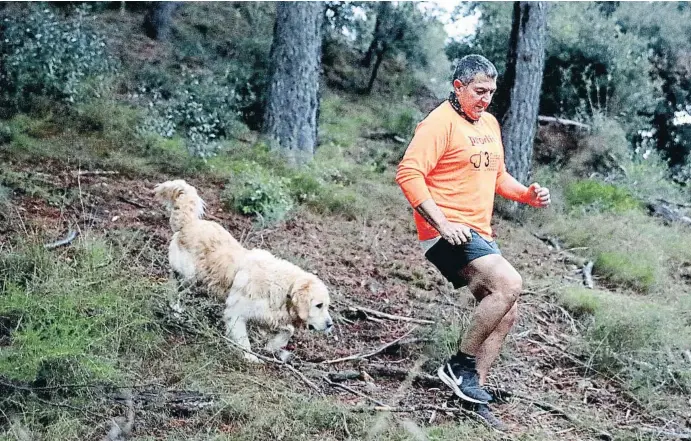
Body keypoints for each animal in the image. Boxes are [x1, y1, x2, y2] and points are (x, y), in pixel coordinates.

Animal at [155, 179, 334, 360]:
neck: (283, 288)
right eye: (319, 305)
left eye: (326, 306)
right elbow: (244, 341)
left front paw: (272, 346)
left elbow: (288, 331)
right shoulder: (236, 313)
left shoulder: (268, 316)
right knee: (173, 286)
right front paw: (251, 358)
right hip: (189, 276)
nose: (330, 324)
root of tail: (190, 223)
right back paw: (175, 309)